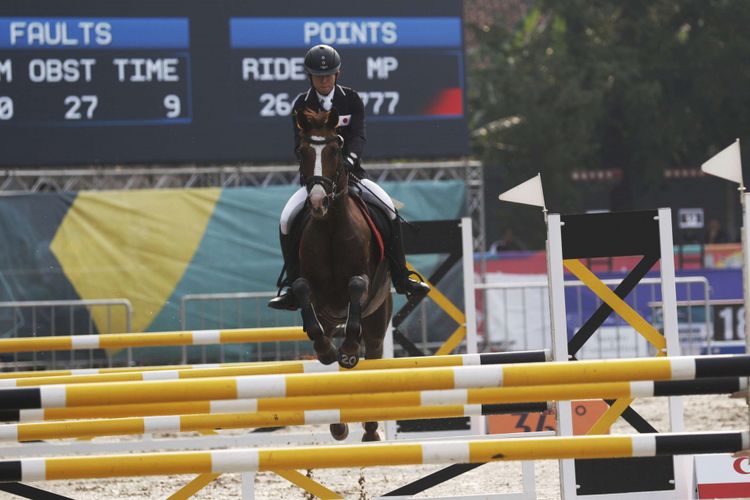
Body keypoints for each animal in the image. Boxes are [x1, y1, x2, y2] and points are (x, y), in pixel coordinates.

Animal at [290, 107, 394, 440]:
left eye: (336, 150)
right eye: (302, 151)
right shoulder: (314, 290)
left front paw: (347, 350)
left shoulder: (363, 283)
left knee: (372, 351)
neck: (331, 226)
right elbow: (301, 287)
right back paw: (338, 423)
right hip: (330, 316)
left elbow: (357, 286)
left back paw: (371, 429)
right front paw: (325, 350)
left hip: (377, 316)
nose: (318, 201)